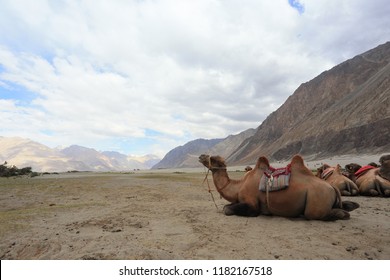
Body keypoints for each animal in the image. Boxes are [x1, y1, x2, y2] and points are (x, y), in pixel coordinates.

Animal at [198, 154, 360, 220]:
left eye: (213, 159)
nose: (201, 156)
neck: (239, 185)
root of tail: (332, 188)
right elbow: (227, 205)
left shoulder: (252, 204)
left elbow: (227, 209)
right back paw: (351, 206)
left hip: (317, 200)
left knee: (314, 214)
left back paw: (342, 214)